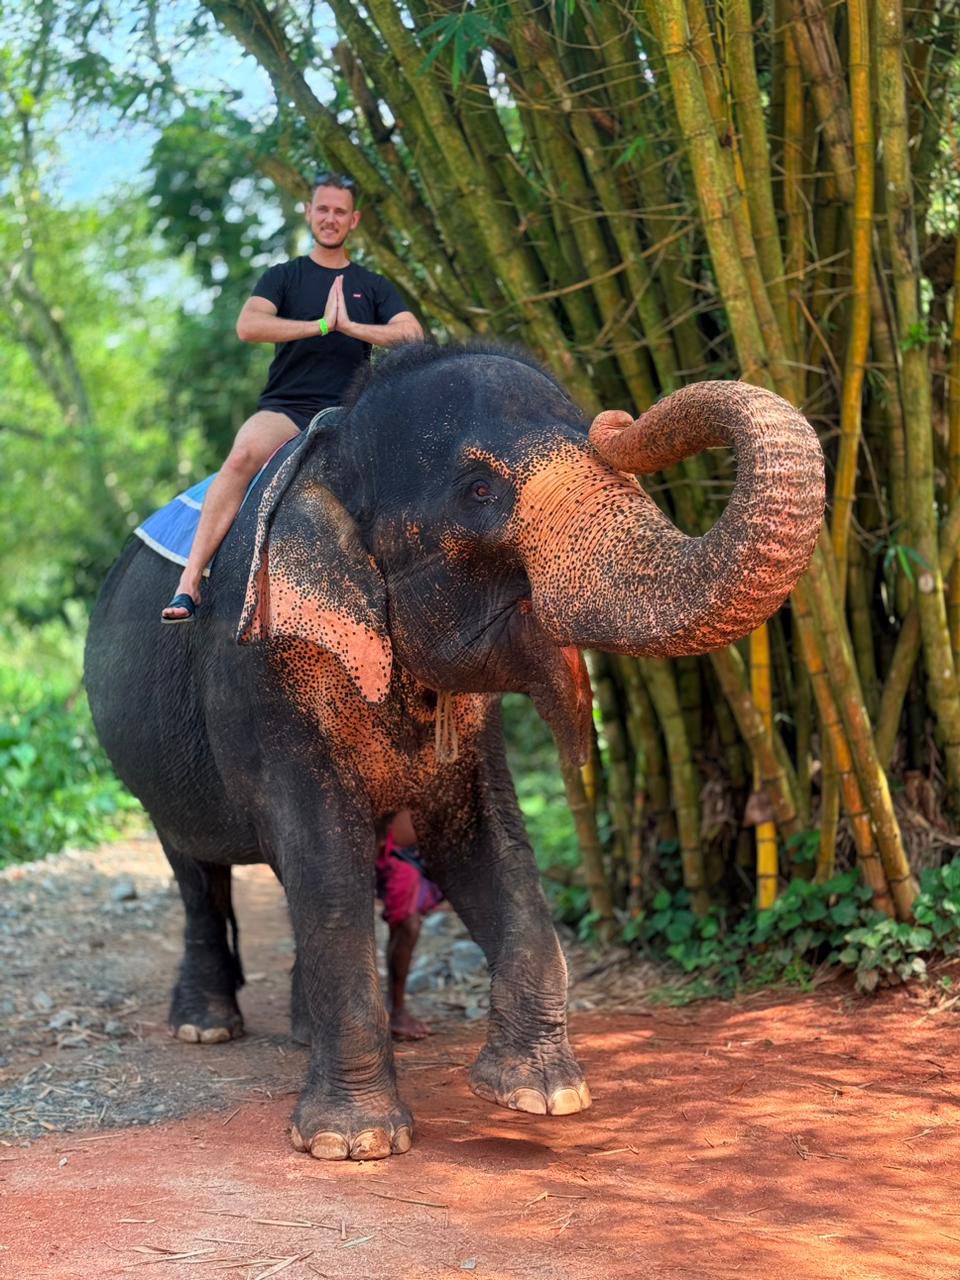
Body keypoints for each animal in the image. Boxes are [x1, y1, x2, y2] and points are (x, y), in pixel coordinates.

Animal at [84, 343, 824, 1161]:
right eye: (478, 492)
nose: (617, 418)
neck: (335, 443)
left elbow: (487, 843)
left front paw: (540, 1094)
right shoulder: (259, 670)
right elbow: (324, 855)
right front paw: (354, 1143)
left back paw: (301, 1030)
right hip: (142, 761)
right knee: (197, 872)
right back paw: (206, 1027)